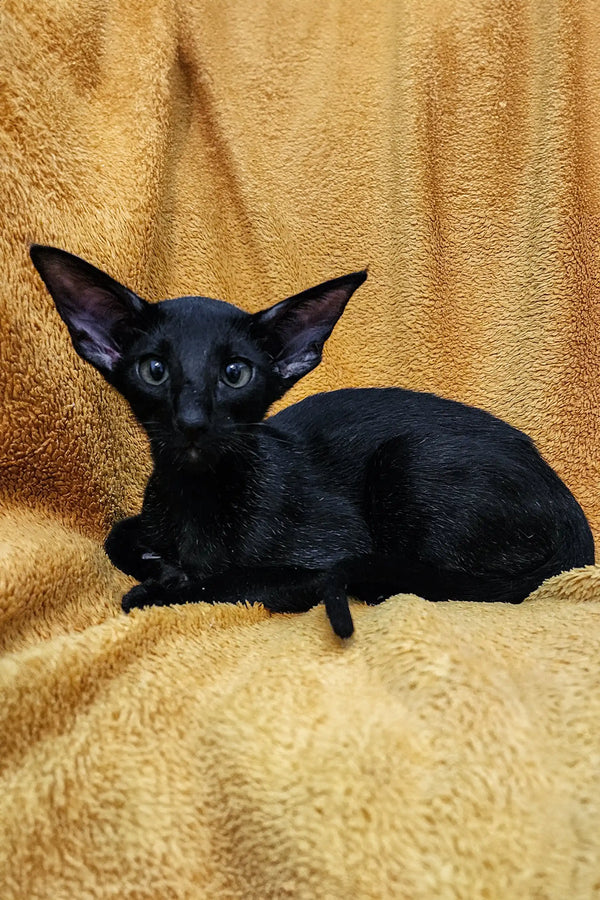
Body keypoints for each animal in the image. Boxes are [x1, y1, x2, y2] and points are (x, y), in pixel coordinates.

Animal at [30, 246, 592, 640]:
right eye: (154, 369)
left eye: (235, 373)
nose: (191, 421)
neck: (197, 497)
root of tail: (576, 520)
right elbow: (118, 538)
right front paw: (158, 563)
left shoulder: (324, 558)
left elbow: (232, 581)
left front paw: (164, 585)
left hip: (407, 459)